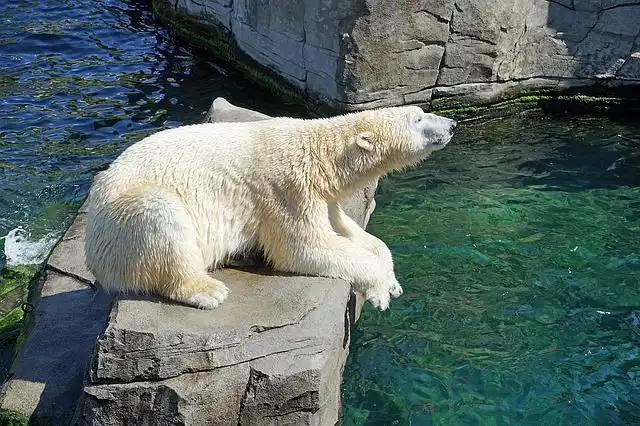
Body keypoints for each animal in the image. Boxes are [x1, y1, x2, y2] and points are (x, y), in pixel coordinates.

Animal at [84, 105, 456, 311]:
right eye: (418, 118)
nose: (452, 124)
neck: (319, 153)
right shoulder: (286, 189)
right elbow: (303, 248)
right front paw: (380, 291)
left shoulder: (321, 196)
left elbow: (352, 233)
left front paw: (392, 280)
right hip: (125, 218)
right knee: (162, 218)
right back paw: (208, 290)